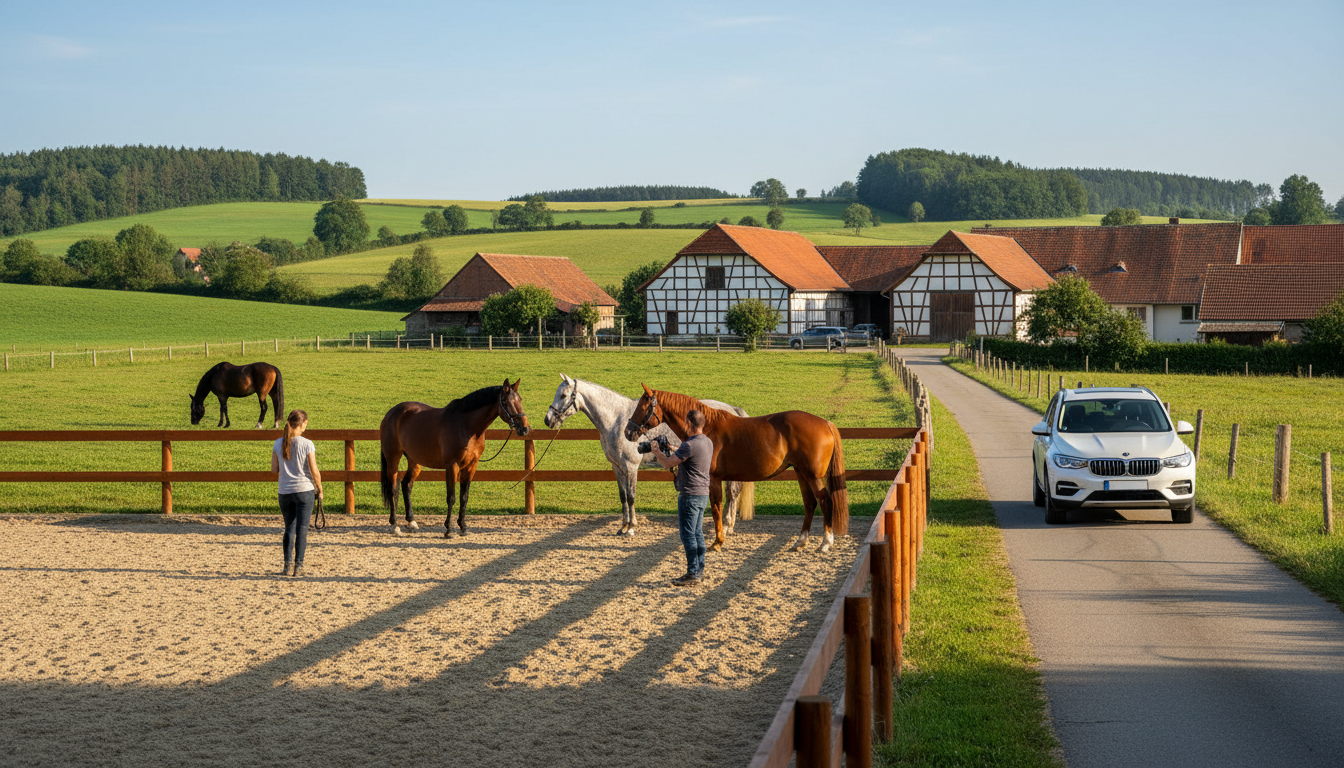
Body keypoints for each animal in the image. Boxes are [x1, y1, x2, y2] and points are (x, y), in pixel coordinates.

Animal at [379, 379, 531, 537]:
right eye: (507, 402)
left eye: (520, 400)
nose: (524, 428)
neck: (466, 426)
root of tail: (391, 413)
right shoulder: (452, 465)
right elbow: (451, 497)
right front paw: (448, 529)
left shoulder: (471, 466)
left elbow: (464, 497)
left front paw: (463, 527)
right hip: (393, 458)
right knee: (393, 488)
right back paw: (394, 525)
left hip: (414, 461)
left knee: (406, 485)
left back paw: (411, 522)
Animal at [543, 374, 755, 537]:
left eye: (563, 395)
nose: (548, 420)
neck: (616, 420)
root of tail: (734, 410)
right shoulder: (617, 467)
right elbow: (622, 497)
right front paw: (623, 526)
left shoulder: (631, 467)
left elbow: (631, 496)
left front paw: (631, 528)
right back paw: (727, 525)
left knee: (732, 492)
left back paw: (726, 526)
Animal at [624, 384, 848, 553]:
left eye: (644, 405)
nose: (628, 431)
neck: (707, 428)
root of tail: (825, 423)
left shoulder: (714, 479)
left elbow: (716, 508)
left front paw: (717, 542)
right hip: (802, 473)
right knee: (810, 503)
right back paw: (800, 542)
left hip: (812, 475)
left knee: (825, 500)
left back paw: (825, 543)